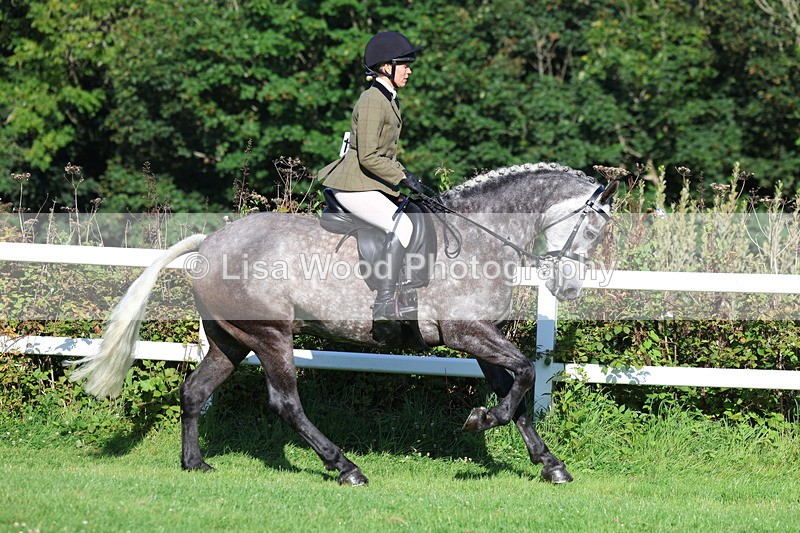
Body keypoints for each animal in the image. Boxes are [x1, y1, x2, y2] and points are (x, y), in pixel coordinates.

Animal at [69, 162, 618, 486]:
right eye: (593, 226)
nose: (569, 288)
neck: (482, 236)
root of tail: (210, 243)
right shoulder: (468, 332)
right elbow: (523, 373)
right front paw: (480, 420)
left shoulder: (480, 339)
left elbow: (519, 394)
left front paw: (550, 464)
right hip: (272, 336)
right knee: (285, 403)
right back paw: (346, 467)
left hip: (231, 340)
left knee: (195, 391)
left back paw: (196, 464)